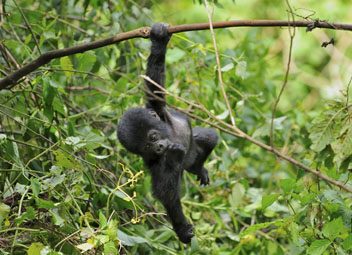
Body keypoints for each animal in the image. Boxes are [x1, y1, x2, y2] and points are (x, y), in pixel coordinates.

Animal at [118, 22, 217, 243]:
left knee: (209, 138)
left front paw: (159, 41)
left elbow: (154, 83)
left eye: (153, 137)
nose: (159, 147)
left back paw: (198, 167)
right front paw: (182, 228)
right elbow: (166, 193)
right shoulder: (155, 163)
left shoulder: (157, 108)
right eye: (147, 147)